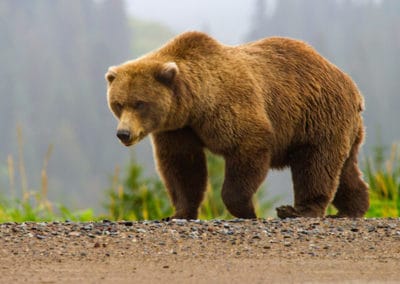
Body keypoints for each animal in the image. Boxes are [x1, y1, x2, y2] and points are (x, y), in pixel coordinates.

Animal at [105, 31, 368, 220]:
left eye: (140, 103)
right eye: (118, 103)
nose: (123, 133)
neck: (195, 105)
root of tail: (352, 86)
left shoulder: (229, 106)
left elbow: (247, 146)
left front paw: (247, 210)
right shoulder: (178, 128)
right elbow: (182, 166)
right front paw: (178, 212)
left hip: (317, 116)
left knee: (316, 164)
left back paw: (298, 210)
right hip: (340, 126)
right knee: (344, 168)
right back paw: (353, 207)